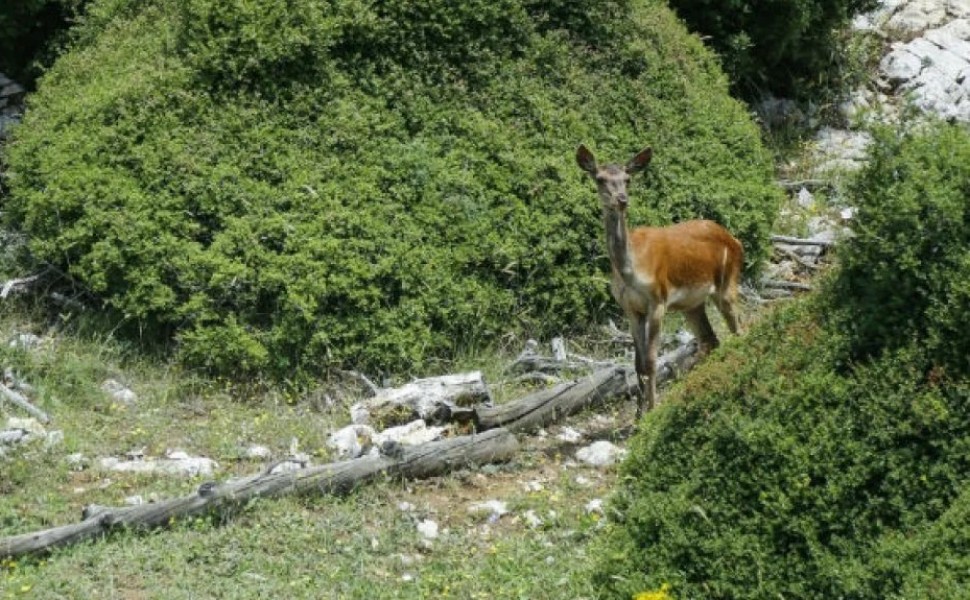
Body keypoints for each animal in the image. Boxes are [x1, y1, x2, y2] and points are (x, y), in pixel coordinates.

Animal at [576, 144, 740, 420]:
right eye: (600, 178)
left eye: (627, 179)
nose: (622, 199)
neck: (631, 271)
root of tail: (735, 240)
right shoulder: (630, 309)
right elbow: (637, 363)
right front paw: (638, 416)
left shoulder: (658, 300)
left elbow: (652, 361)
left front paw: (653, 410)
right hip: (692, 304)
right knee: (710, 339)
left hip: (728, 282)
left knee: (737, 328)